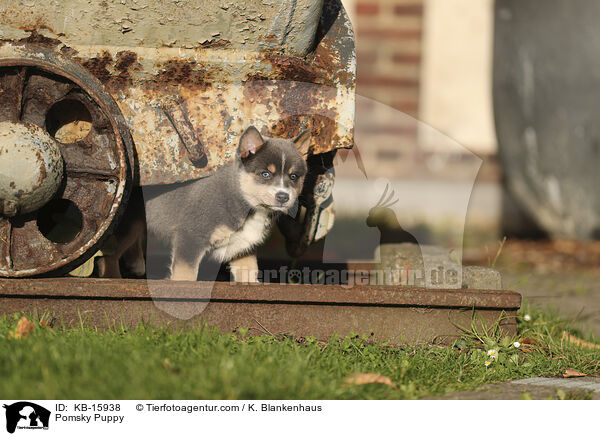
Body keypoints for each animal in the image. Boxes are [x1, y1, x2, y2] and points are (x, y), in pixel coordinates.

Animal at [98, 126, 310, 282]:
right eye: (265, 174)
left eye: (293, 176)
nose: (283, 196)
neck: (245, 202)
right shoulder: (191, 236)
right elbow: (185, 276)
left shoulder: (243, 246)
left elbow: (249, 272)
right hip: (127, 226)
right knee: (106, 257)